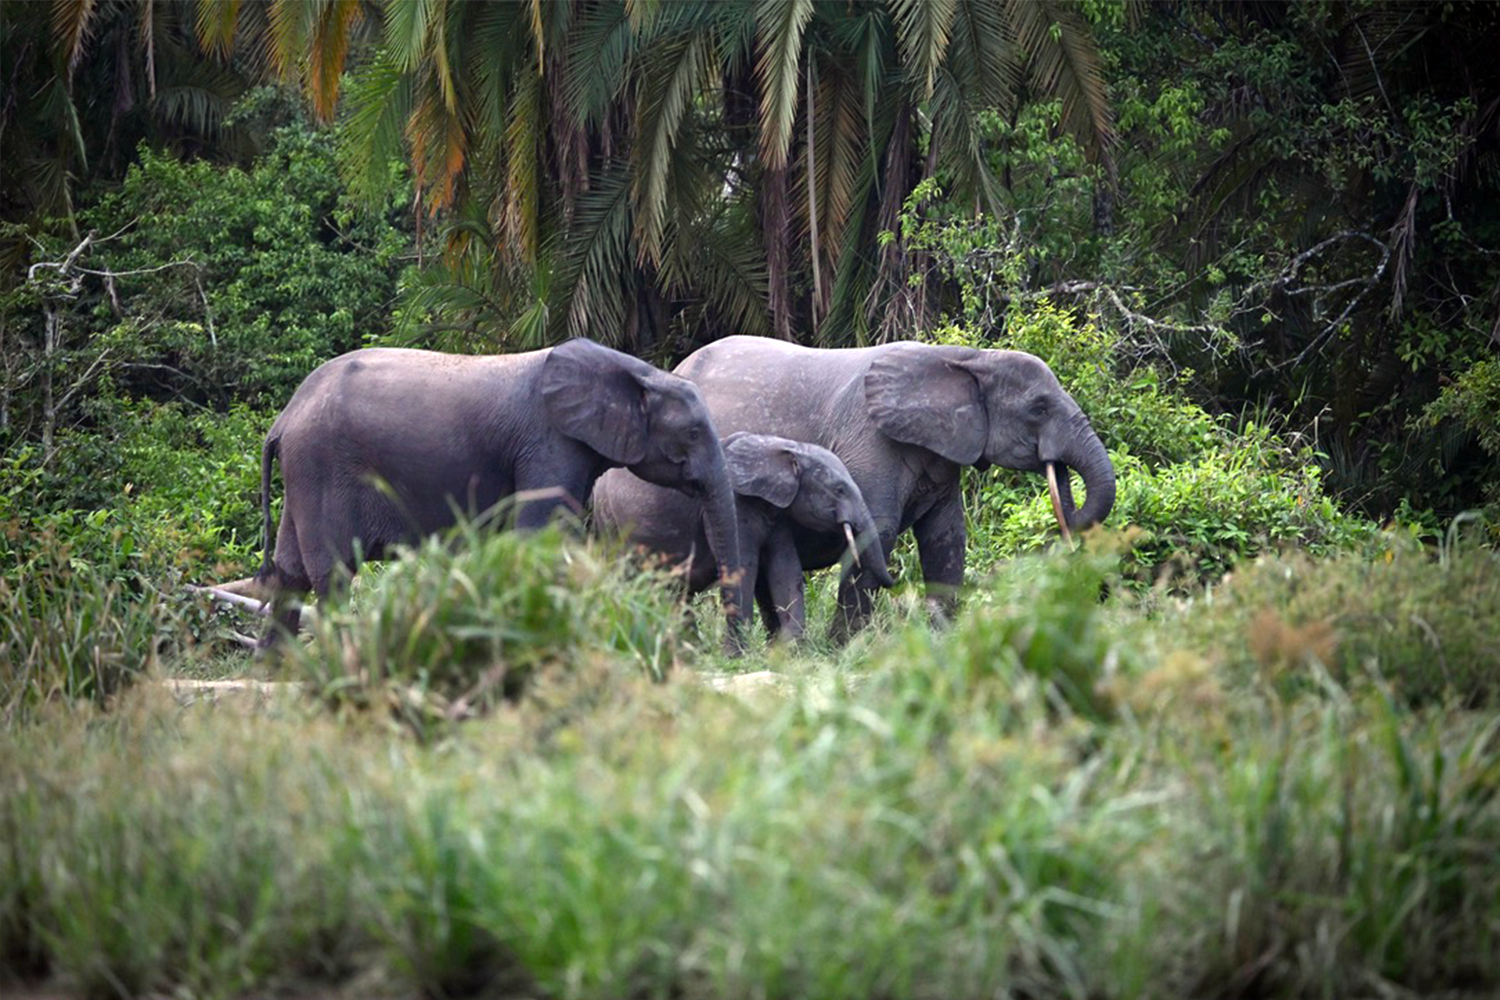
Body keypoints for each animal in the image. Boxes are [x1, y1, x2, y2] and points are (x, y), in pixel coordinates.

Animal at [249, 337, 742, 649]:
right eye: (693, 433)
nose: (729, 653)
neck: (638, 371)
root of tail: (284, 419)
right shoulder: (548, 442)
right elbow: (541, 537)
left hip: (304, 473)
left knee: (290, 573)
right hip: (322, 465)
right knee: (331, 574)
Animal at [592, 431, 895, 641]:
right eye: (840, 490)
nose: (894, 581)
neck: (780, 448)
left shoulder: (777, 512)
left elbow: (785, 569)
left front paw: (792, 650)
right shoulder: (736, 505)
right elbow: (745, 564)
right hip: (611, 523)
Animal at [674, 335, 1115, 639]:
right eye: (1038, 408)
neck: (966, 357)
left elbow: (946, 538)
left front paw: (943, 639)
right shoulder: (871, 442)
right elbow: (878, 533)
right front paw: (843, 648)